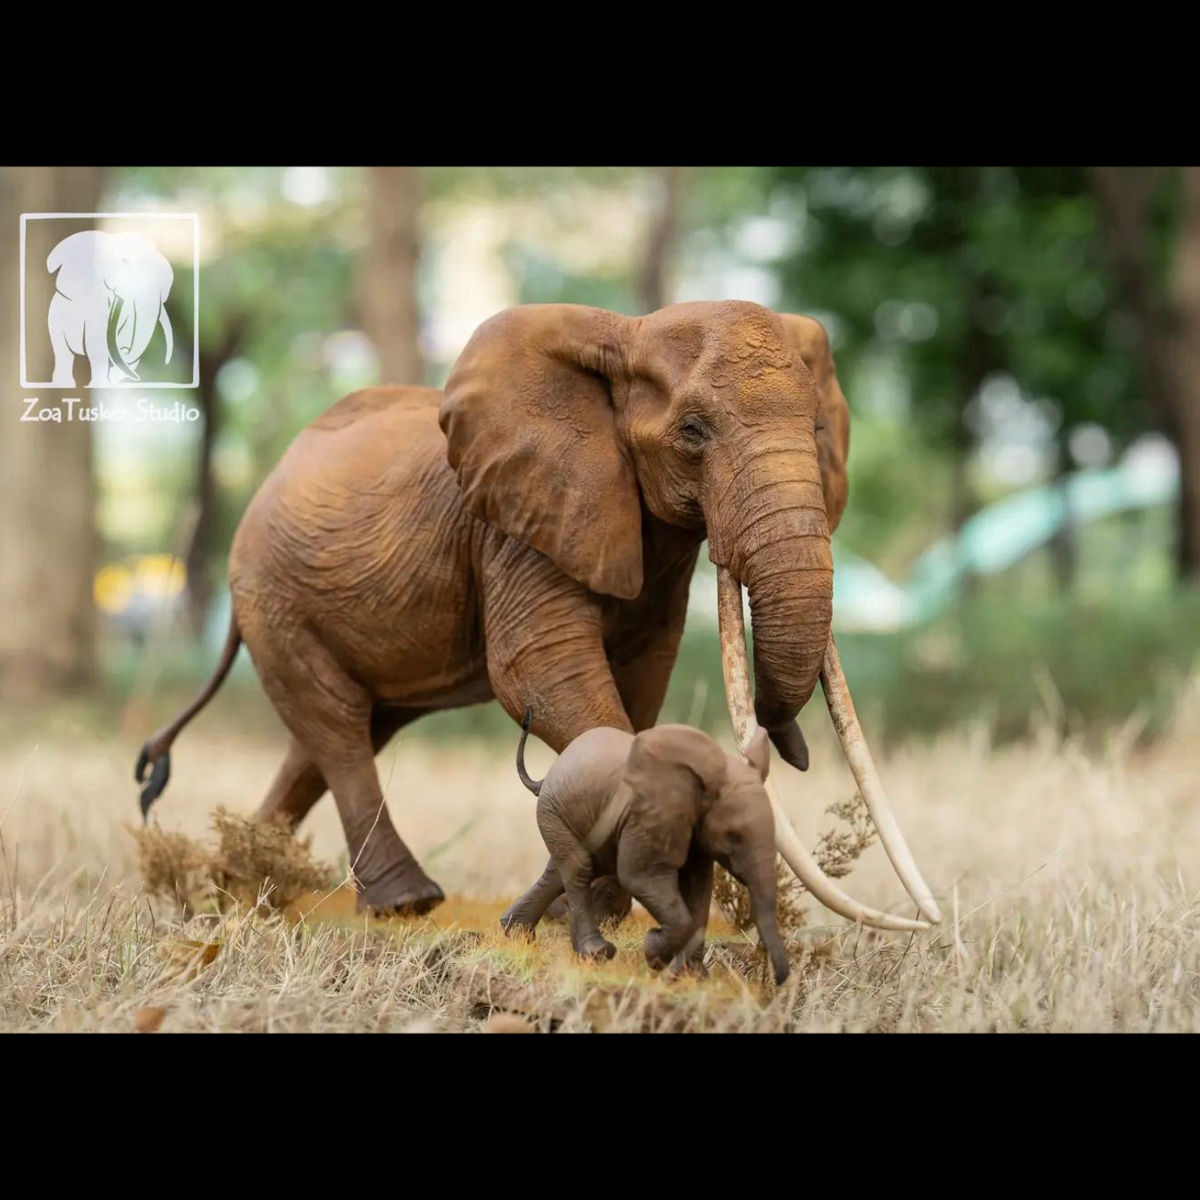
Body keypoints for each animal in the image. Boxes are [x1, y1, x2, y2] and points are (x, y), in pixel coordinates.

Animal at [136, 300, 940, 930]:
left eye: (817, 433)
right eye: (693, 432)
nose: (790, 744)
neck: (628, 333)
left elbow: (642, 680)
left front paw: (603, 907)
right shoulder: (516, 522)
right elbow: (542, 673)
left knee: (336, 733)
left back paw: (243, 886)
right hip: (272, 591)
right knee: (334, 724)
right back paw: (403, 904)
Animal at [502, 712, 791, 986]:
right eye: (734, 837)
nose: (777, 980)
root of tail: (548, 775)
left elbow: (698, 889)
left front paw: (694, 976)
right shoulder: (643, 819)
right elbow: (639, 878)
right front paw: (654, 953)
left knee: (563, 872)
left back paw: (515, 934)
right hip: (554, 811)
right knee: (579, 868)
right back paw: (596, 953)